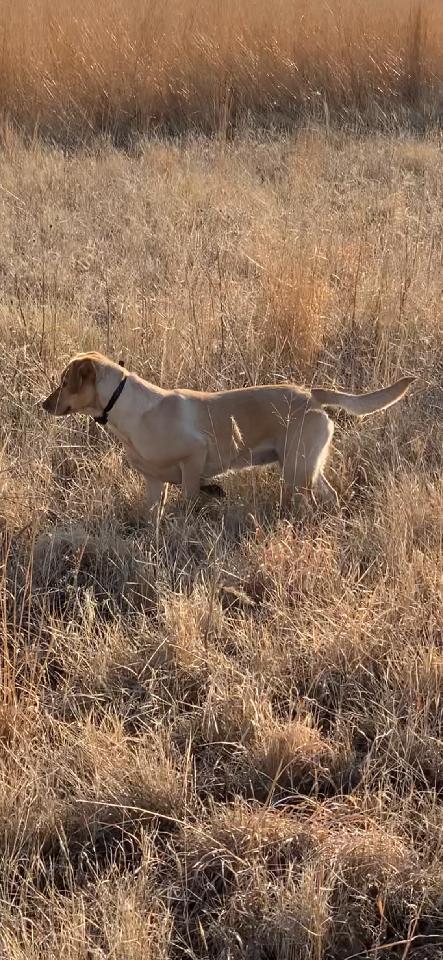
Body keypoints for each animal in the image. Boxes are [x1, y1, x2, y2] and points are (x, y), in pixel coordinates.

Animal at [42, 352, 416, 512]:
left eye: (64, 382)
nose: (43, 404)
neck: (127, 410)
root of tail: (310, 393)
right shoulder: (153, 482)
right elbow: (153, 515)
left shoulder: (194, 457)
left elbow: (190, 498)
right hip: (305, 465)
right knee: (330, 495)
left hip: (296, 471)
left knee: (309, 502)